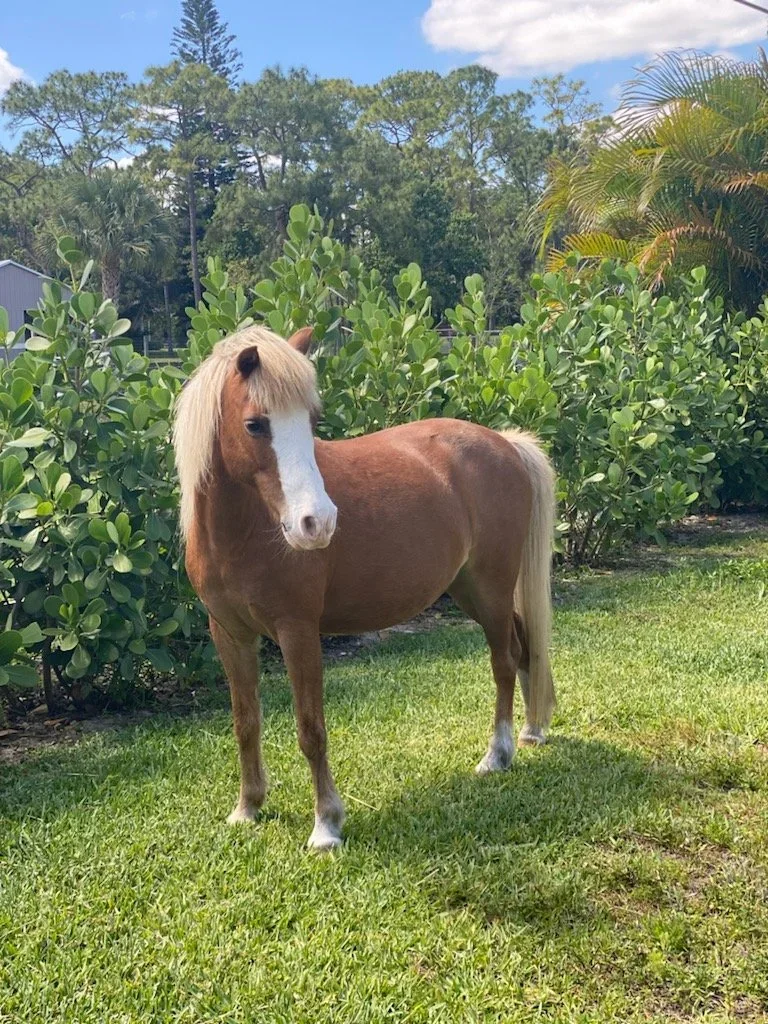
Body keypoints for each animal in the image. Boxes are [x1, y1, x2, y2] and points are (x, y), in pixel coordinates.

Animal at [173, 324, 557, 850]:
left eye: (312, 419)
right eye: (254, 425)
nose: (317, 523)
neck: (246, 531)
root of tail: (504, 443)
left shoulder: (298, 631)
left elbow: (311, 729)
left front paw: (326, 826)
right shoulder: (229, 633)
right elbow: (245, 722)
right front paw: (247, 807)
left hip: (492, 587)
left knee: (503, 659)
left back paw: (496, 755)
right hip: (470, 591)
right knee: (523, 645)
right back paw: (533, 731)